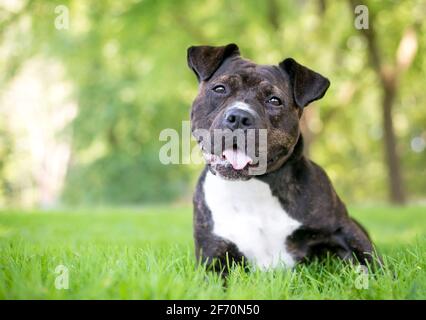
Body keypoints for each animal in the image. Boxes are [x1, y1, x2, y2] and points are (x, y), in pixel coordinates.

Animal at [188, 43, 374, 272]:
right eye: (220, 89)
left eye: (274, 101)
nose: (239, 117)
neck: (252, 188)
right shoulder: (213, 257)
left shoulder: (345, 230)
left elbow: (375, 265)